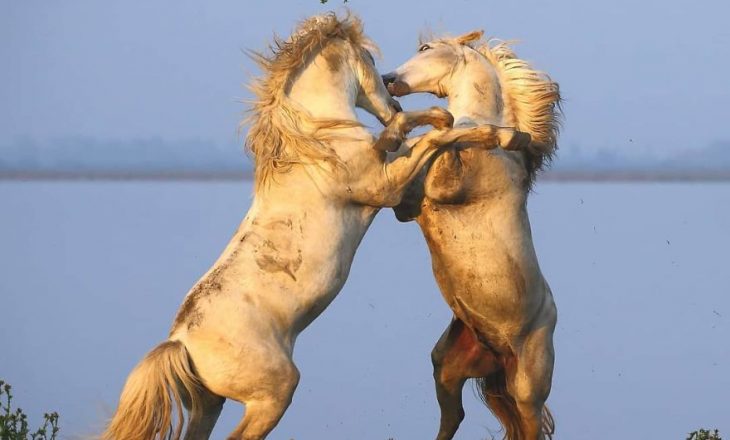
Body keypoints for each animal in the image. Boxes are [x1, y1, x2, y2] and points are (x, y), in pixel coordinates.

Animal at [102, 13, 500, 440]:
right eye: (372, 63)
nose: (392, 93)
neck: (319, 140)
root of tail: (182, 344)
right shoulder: (385, 188)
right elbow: (431, 140)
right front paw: (480, 131)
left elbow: (416, 136)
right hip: (273, 394)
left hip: (208, 403)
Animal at [384, 31, 560, 440]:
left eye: (425, 49)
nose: (387, 79)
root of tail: (496, 351)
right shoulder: (407, 204)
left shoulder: (444, 186)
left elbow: (449, 131)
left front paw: (508, 136)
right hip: (447, 367)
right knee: (454, 417)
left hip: (528, 386)